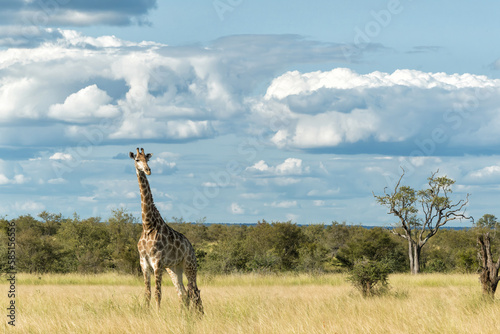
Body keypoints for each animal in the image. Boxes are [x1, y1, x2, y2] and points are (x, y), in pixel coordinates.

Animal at [131, 147, 205, 314]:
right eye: (137, 160)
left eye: (147, 159)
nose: (148, 170)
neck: (148, 225)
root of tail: (190, 246)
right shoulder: (144, 263)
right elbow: (148, 293)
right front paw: (146, 312)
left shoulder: (157, 262)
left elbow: (158, 293)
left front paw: (157, 314)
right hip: (174, 268)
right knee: (183, 293)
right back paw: (184, 315)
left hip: (190, 265)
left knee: (194, 291)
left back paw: (198, 315)